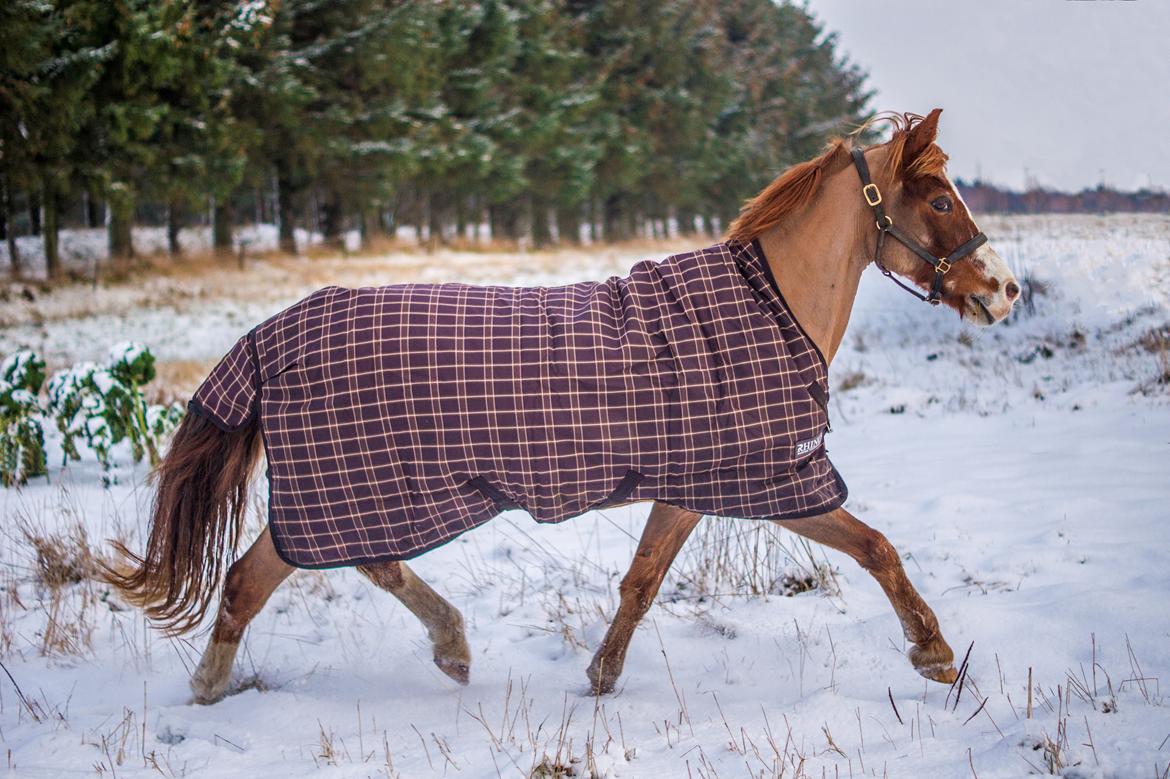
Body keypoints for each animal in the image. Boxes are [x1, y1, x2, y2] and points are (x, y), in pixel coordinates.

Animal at [102, 106, 1015, 701]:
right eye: (940, 200)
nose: (1005, 289)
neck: (768, 304)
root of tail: (272, 333)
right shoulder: (777, 482)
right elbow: (879, 549)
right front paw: (936, 655)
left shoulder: (688, 486)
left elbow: (641, 581)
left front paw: (602, 676)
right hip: (354, 487)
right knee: (249, 580)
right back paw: (211, 686)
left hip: (373, 490)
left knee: (367, 561)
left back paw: (451, 646)